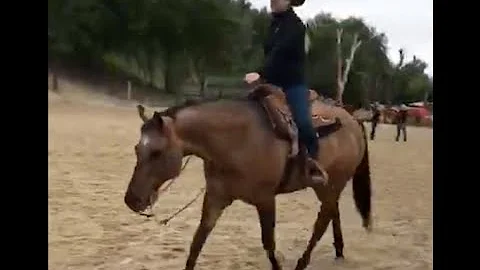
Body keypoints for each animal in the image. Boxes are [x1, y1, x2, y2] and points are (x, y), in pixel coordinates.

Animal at [123, 83, 372, 268]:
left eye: (156, 152)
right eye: (137, 149)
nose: (132, 200)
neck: (237, 140)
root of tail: (352, 120)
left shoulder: (266, 200)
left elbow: (269, 245)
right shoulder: (216, 197)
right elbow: (197, 241)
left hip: (332, 184)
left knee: (322, 222)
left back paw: (303, 262)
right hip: (327, 186)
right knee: (332, 213)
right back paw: (338, 250)